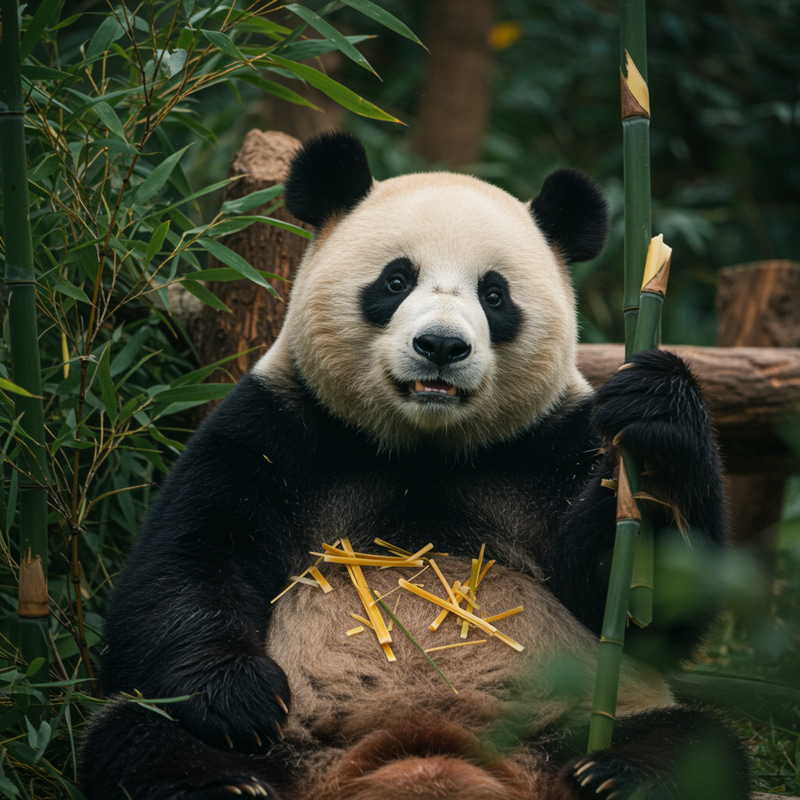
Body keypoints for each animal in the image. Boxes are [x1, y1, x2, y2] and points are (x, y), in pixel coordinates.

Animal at [80, 132, 749, 800]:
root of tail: (421, 755)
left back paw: (618, 776)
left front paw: (656, 423)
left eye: (494, 294)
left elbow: (642, 606)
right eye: (397, 280)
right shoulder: (275, 428)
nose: (442, 347)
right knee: (136, 730)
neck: (425, 446)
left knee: (698, 741)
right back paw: (224, 785)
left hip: (582, 718)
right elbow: (184, 565)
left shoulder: (554, 445)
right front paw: (242, 698)